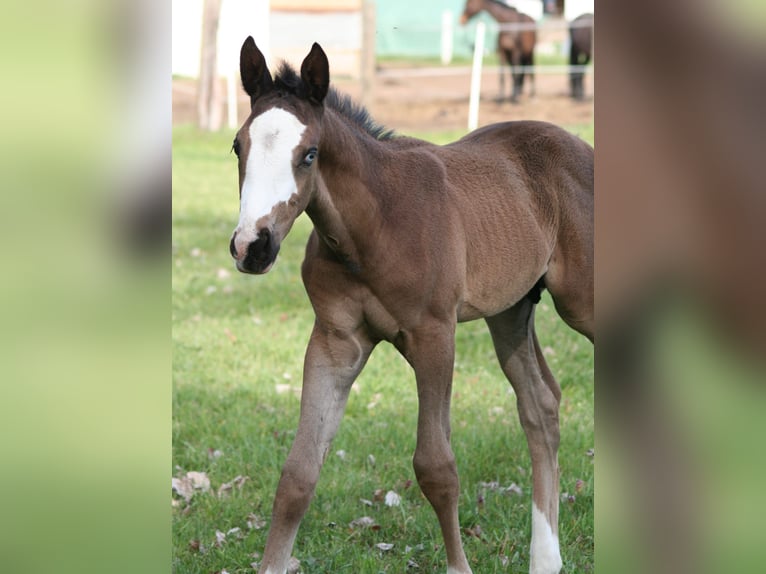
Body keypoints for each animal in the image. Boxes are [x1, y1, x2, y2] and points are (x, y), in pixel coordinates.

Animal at [229, 38, 593, 574]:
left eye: (309, 154)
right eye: (239, 146)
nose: (253, 246)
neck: (373, 227)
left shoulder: (435, 335)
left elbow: (436, 467)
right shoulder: (335, 341)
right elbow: (299, 472)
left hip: (582, 302)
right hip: (510, 309)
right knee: (540, 404)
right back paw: (545, 560)